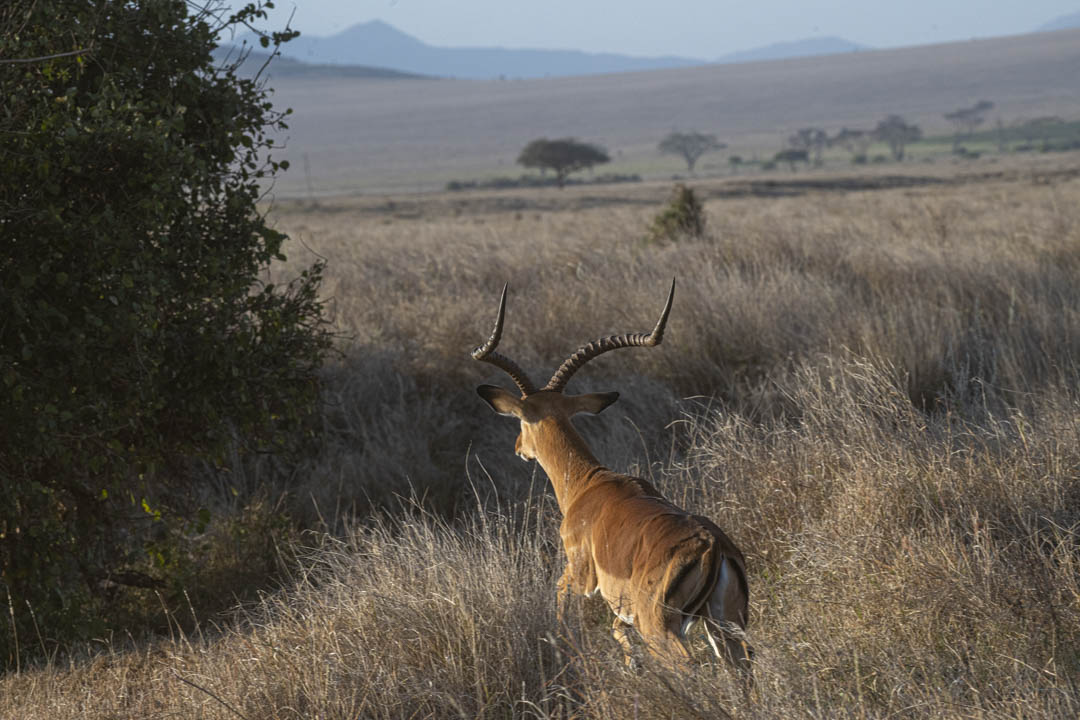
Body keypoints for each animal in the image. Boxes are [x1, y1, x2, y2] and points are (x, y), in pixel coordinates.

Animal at [472, 279, 752, 674]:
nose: (518, 448)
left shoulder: (580, 575)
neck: (587, 483)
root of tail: (713, 546)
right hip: (725, 626)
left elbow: (561, 600)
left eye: (522, 420)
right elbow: (618, 630)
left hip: (663, 629)